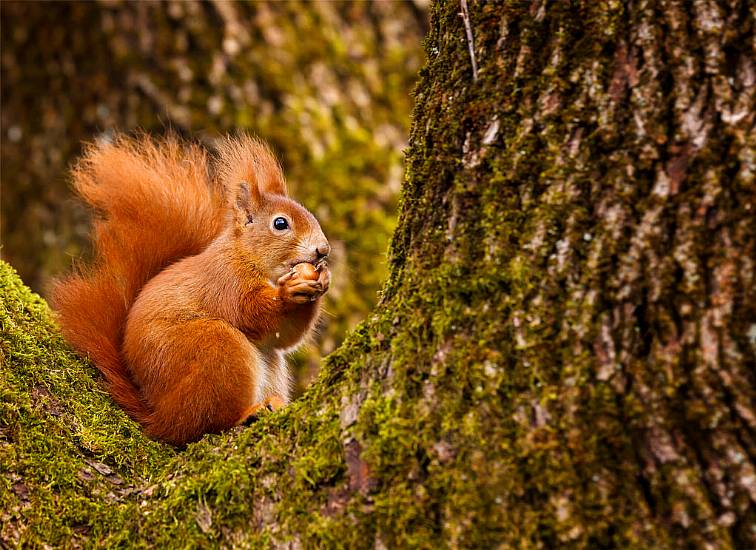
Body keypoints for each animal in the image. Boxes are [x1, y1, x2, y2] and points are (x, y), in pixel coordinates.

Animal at [50, 135, 328, 448]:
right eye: (280, 223)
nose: (323, 250)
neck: (248, 257)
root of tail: (160, 417)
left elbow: (284, 336)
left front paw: (322, 279)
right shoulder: (225, 281)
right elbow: (249, 312)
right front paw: (288, 292)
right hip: (215, 349)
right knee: (205, 425)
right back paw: (247, 413)